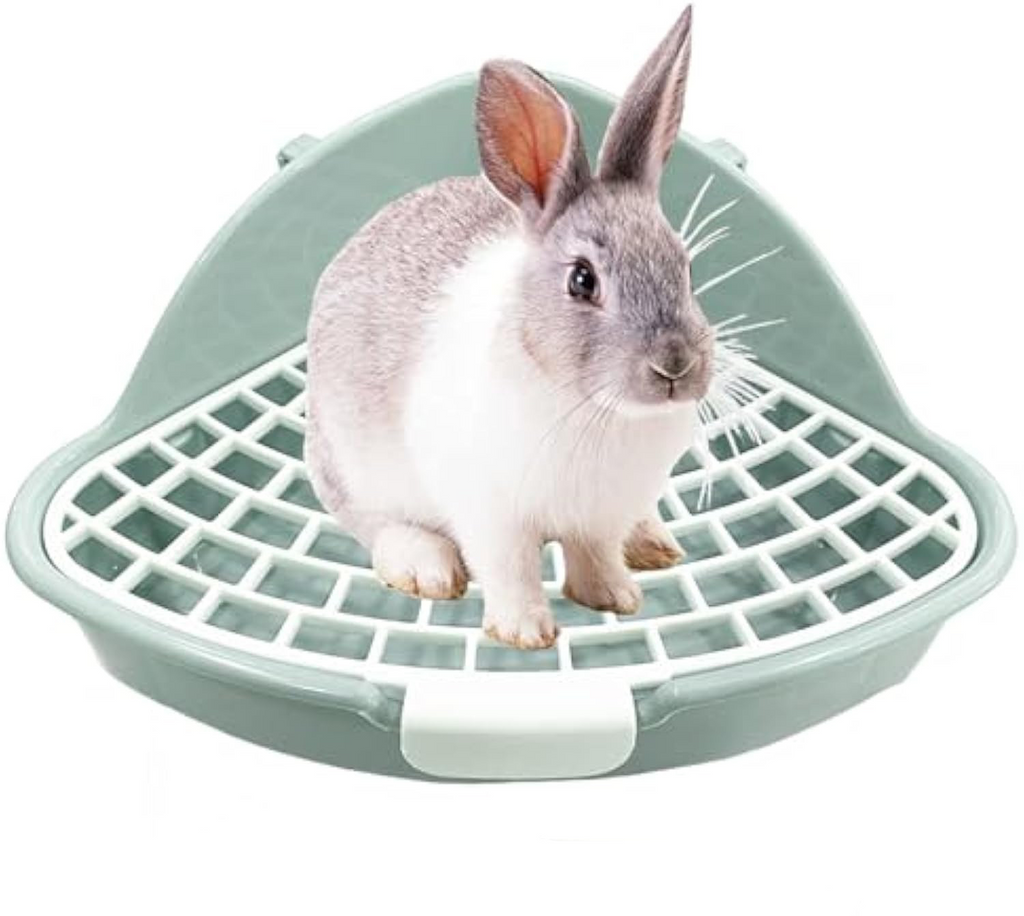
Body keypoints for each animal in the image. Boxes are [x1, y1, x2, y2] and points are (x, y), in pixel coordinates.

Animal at [306, 5, 713, 649]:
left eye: (686, 266)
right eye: (582, 280)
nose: (675, 366)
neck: (593, 408)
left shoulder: (600, 514)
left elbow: (595, 555)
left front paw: (616, 598)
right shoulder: (491, 514)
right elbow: (511, 568)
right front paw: (524, 633)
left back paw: (653, 543)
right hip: (352, 465)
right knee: (373, 523)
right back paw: (424, 567)